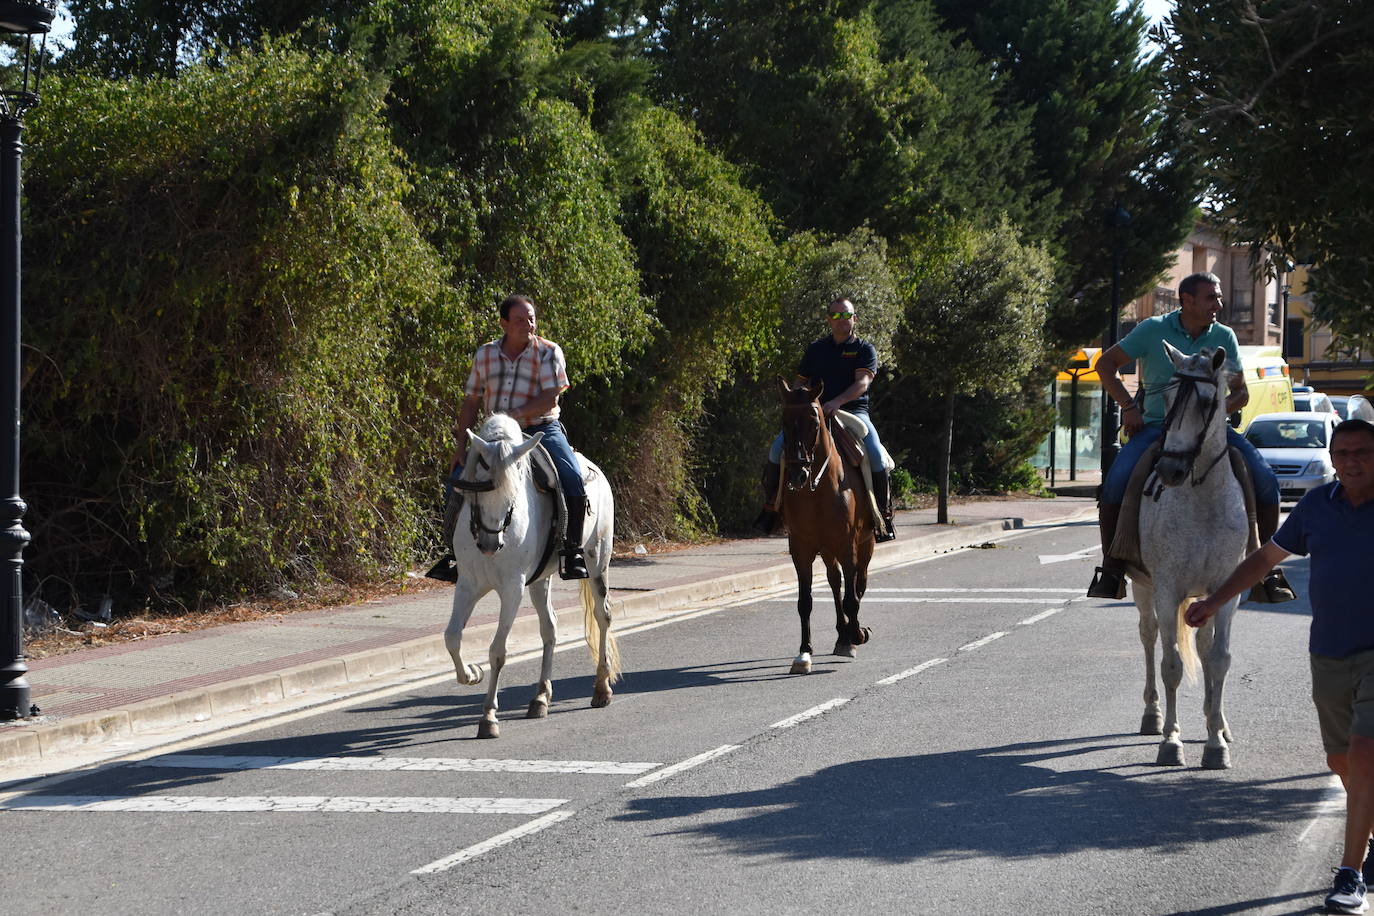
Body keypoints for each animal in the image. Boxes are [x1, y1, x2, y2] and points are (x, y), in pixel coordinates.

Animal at [442, 414, 621, 736]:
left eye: (512, 498)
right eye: (476, 494)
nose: (489, 545)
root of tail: (594, 469)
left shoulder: (512, 589)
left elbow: (498, 650)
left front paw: (489, 716)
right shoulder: (468, 584)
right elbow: (452, 637)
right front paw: (472, 673)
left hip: (598, 562)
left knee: (603, 617)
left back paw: (601, 689)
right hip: (540, 580)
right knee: (549, 627)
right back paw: (540, 698)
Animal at [780, 379, 873, 672]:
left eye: (814, 421)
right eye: (783, 419)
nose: (798, 474)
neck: (818, 489)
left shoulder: (847, 545)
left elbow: (852, 598)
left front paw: (856, 636)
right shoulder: (801, 549)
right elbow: (805, 601)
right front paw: (804, 653)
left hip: (864, 544)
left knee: (858, 584)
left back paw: (851, 635)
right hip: (827, 549)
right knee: (835, 582)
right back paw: (842, 634)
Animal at [1132, 340, 1253, 769]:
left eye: (1205, 401)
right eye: (1167, 398)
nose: (1169, 470)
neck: (1203, 501)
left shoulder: (1227, 591)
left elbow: (1218, 659)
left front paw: (1216, 742)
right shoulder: (1167, 589)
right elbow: (1171, 665)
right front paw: (1171, 741)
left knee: (1203, 646)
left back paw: (1218, 721)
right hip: (1143, 587)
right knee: (1149, 636)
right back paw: (1152, 714)